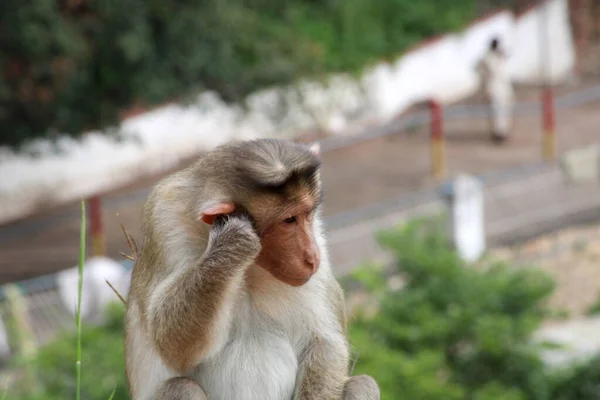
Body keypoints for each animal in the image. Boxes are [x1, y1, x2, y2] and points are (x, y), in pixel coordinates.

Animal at [123, 138, 380, 400]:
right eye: (289, 220)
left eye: (307, 213)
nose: (312, 257)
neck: (250, 268)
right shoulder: (164, 219)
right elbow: (171, 344)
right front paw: (232, 241)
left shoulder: (315, 234)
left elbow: (325, 342)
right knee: (180, 387)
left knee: (362, 383)